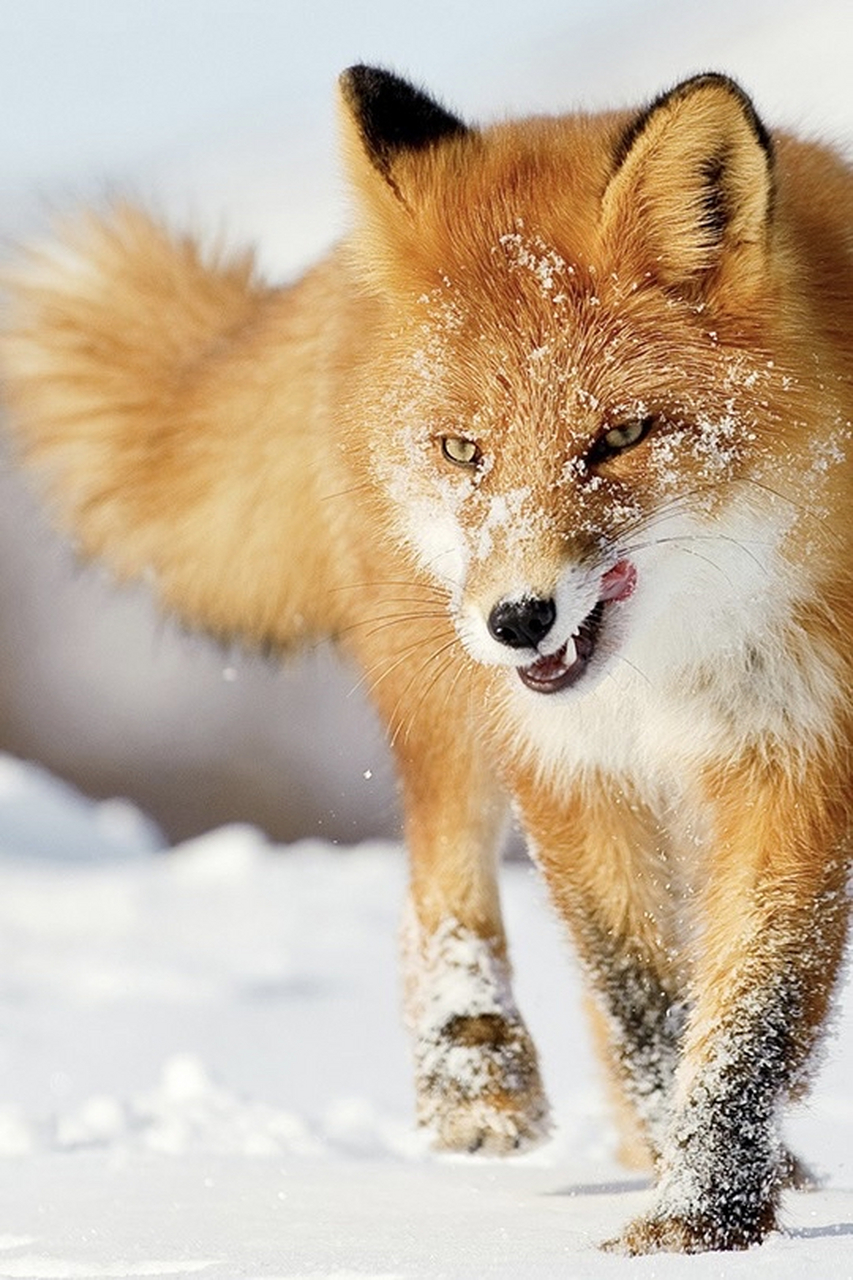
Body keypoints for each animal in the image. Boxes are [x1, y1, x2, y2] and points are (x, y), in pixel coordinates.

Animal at [1, 67, 850, 1249]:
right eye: (464, 451)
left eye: (618, 437)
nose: (519, 621)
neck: (669, 673)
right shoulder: (568, 764)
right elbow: (643, 997)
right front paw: (695, 1205)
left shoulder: (795, 755)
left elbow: (741, 1022)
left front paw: (702, 1209)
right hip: (443, 694)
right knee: (437, 882)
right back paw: (475, 1075)